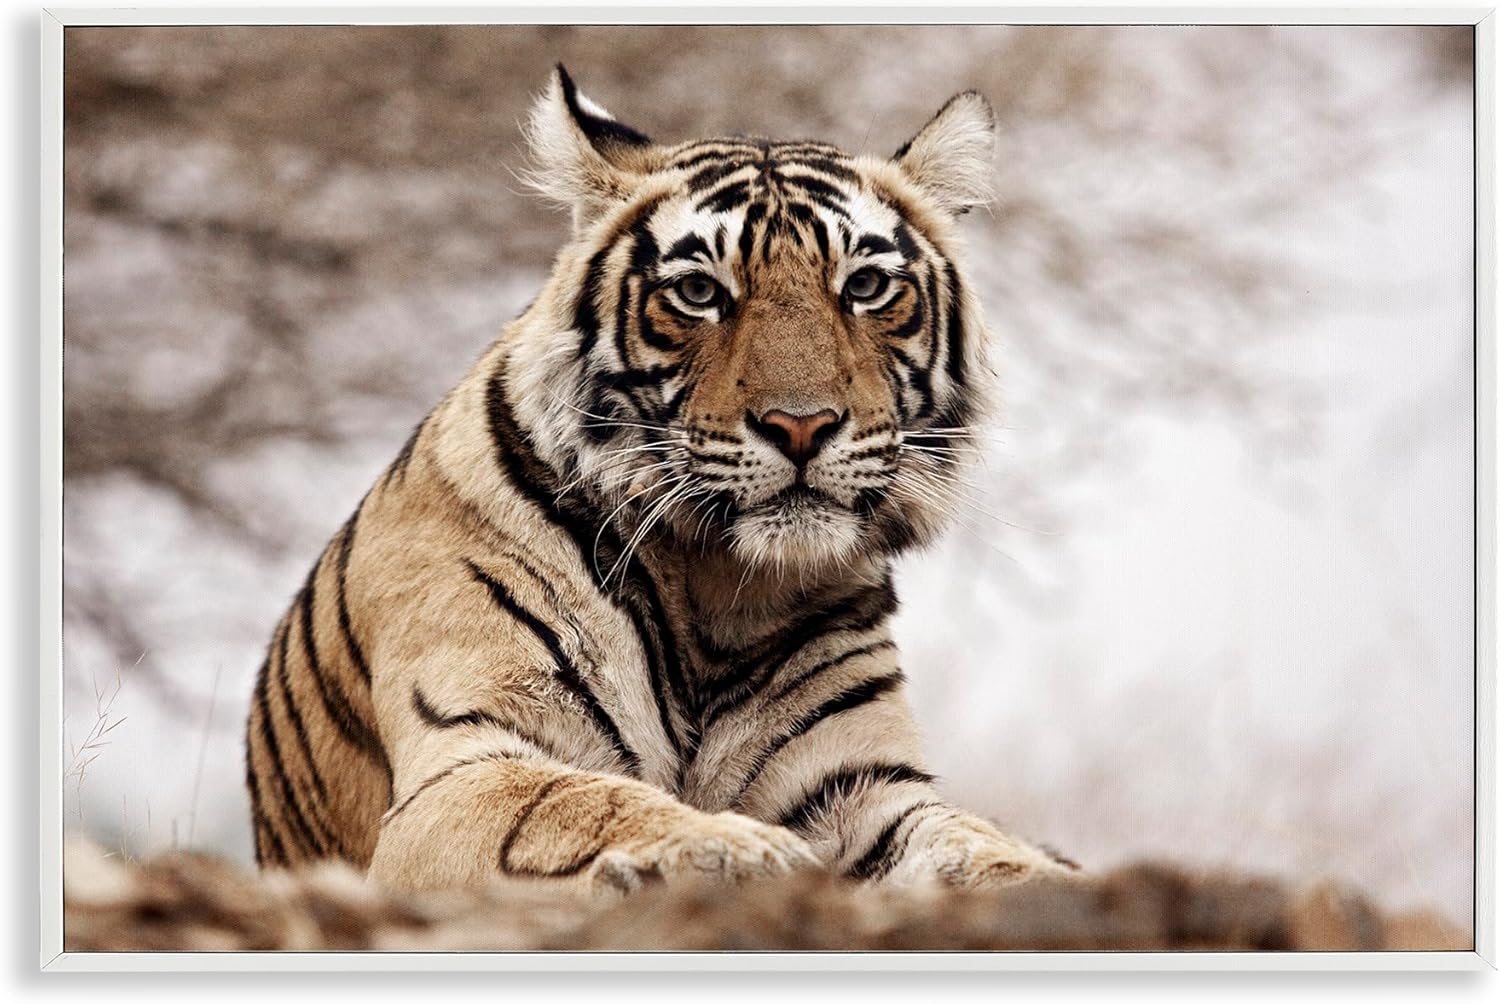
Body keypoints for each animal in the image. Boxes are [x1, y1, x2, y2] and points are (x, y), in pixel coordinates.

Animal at [244, 65, 1072, 893]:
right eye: (700, 293)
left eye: (865, 286)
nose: (801, 425)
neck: (723, 592)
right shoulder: (463, 765)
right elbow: (583, 804)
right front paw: (741, 849)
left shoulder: (860, 785)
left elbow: (974, 846)